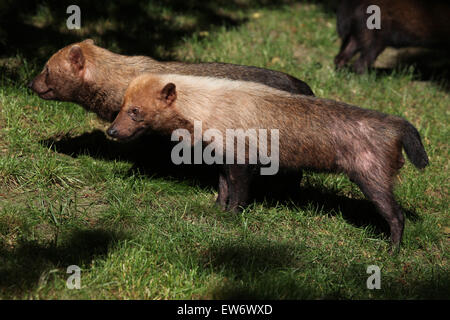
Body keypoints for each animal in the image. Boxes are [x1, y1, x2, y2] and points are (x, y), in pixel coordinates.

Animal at [106, 73, 428, 248]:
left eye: (135, 110)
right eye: (121, 106)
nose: (111, 131)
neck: (208, 105)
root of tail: (398, 126)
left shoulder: (243, 159)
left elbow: (238, 193)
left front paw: (231, 219)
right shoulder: (223, 156)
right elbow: (222, 188)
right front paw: (217, 211)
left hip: (372, 178)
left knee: (397, 216)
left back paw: (391, 251)